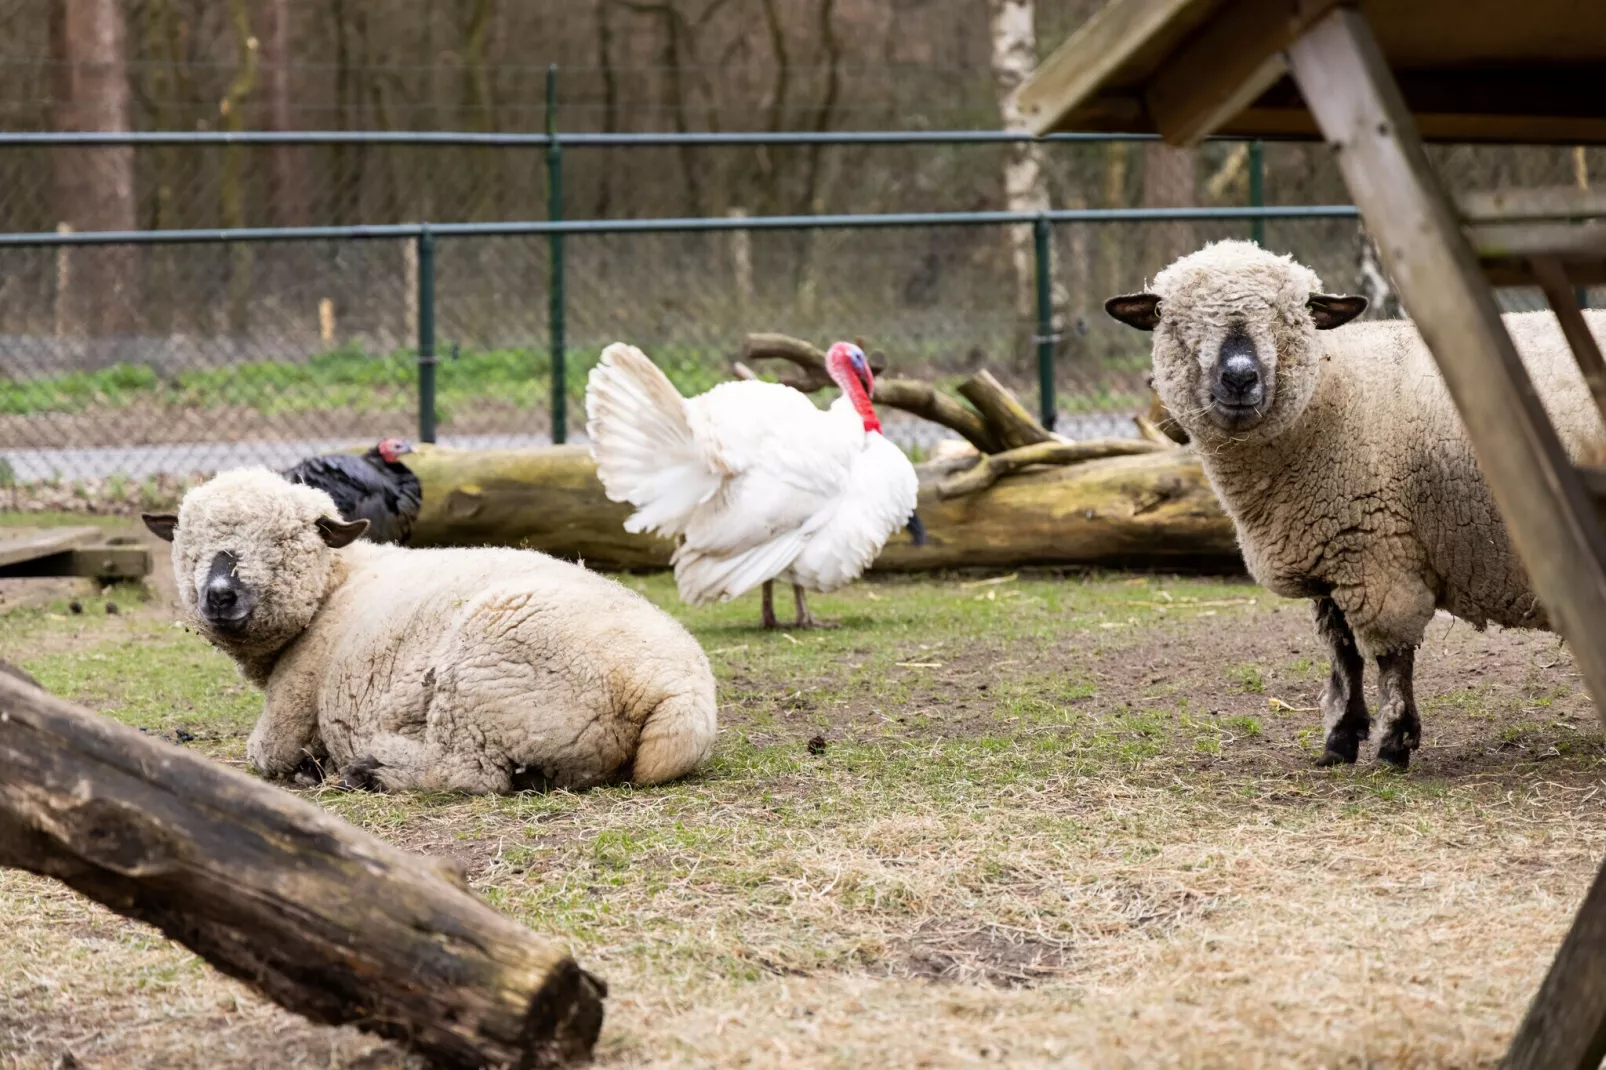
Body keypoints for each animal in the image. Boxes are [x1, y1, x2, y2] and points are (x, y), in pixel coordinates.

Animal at [141, 465, 719, 790]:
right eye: (186, 540)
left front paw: (310, 767)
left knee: (470, 773)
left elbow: (266, 754)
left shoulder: (293, 707)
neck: (339, 582)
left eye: (284, 540)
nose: (220, 595)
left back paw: (369, 770)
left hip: (483, 682)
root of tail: (676, 694)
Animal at [1104, 239, 1606, 767]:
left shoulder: (1378, 555)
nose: (1240, 378)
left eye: (1294, 315)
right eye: (1174, 320)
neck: (1330, 396)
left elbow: (1390, 658)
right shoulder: (1331, 556)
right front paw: (1341, 740)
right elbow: (1342, 652)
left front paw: (1393, 742)